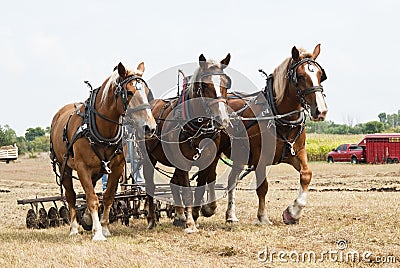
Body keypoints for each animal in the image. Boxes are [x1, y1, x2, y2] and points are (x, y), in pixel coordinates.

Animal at [50, 62, 156, 241]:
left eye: (147, 93)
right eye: (129, 92)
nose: (150, 127)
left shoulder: (117, 167)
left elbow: (107, 197)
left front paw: (104, 227)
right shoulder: (82, 167)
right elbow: (92, 198)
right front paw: (98, 233)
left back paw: (86, 219)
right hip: (63, 166)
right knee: (71, 195)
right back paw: (74, 228)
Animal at [144, 54, 231, 232]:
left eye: (226, 83)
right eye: (204, 86)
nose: (222, 119)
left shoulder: (207, 161)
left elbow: (199, 189)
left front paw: (198, 213)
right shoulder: (182, 163)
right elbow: (188, 193)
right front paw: (190, 222)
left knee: (173, 183)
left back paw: (179, 216)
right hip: (148, 158)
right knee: (150, 186)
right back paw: (151, 220)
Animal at [222, 45, 328, 225]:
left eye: (321, 75)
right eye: (300, 76)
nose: (321, 111)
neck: (279, 116)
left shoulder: (297, 152)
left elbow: (306, 175)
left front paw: (293, 213)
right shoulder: (260, 158)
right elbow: (263, 187)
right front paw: (263, 217)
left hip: (240, 155)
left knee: (231, 180)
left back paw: (231, 215)